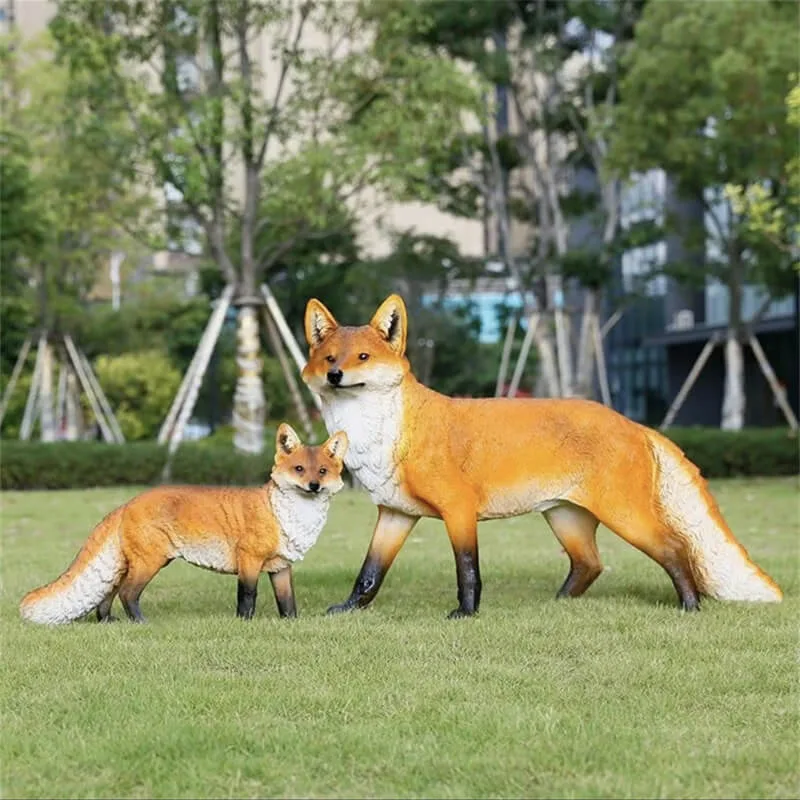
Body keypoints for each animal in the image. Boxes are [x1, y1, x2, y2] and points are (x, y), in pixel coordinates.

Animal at [19, 423, 348, 625]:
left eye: (322, 470)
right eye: (299, 469)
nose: (314, 486)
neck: (289, 517)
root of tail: (127, 503)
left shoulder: (280, 567)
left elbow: (288, 604)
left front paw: (292, 625)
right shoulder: (249, 561)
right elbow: (247, 598)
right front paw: (243, 625)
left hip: (129, 564)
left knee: (106, 596)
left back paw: (109, 622)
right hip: (150, 562)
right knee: (127, 594)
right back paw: (141, 624)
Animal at [301, 293, 783, 618]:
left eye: (363, 356)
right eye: (329, 357)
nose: (336, 375)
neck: (387, 436)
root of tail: (634, 424)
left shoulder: (459, 510)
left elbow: (467, 569)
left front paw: (467, 614)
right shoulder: (396, 513)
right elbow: (369, 573)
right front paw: (349, 608)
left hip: (625, 516)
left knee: (675, 547)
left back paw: (690, 606)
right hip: (566, 518)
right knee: (590, 564)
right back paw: (556, 606)